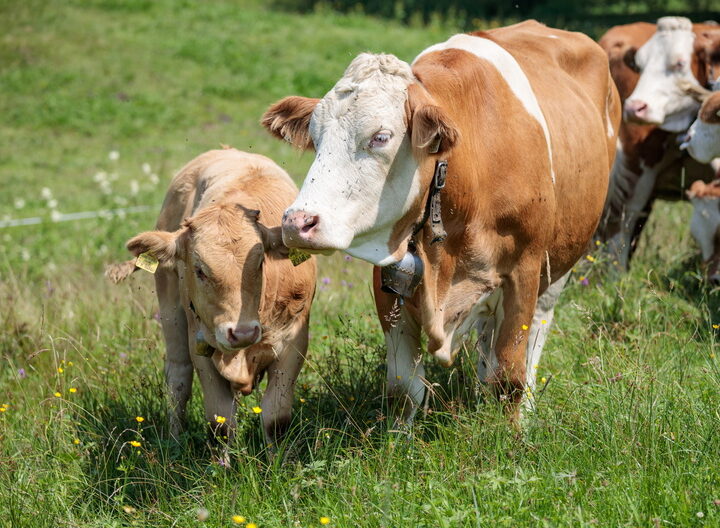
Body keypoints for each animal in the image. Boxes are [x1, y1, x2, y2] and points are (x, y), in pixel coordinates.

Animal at [107, 149, 316, 446]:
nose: (241, 333)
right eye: (199, 270)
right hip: (171, 311)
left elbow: (275, 418)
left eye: (260, 263)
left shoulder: (293, 344)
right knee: (178, 378)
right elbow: (221, 422)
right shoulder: (201, 346)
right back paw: (175, 442)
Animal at [262, 21, 620, 425]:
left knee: (534, 341)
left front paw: (513, 434)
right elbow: (404, 387)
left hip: (559, 265)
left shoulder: (523, 272)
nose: (297, 222)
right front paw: (397, 439)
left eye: (380, 137)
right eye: (316, 137)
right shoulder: (390, 276)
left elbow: (510, 377)